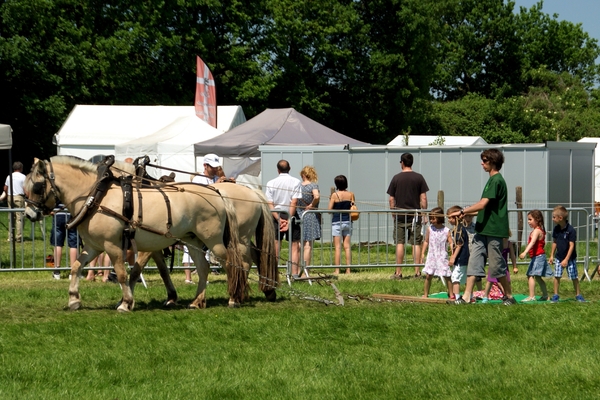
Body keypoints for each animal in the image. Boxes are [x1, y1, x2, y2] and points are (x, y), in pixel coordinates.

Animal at [24, 155, 274, 310]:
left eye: (37, 186)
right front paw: (74, 300)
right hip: (192, 240)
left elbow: (125, 273)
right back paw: (198, 301)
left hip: (219, 240)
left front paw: (126, 303)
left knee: (236, 262)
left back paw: (235, 297)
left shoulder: (115, 245)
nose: (29, 214)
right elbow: (77, 267)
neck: (96, 195)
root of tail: (218, 193)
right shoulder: (96, 246)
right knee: (205, 266)